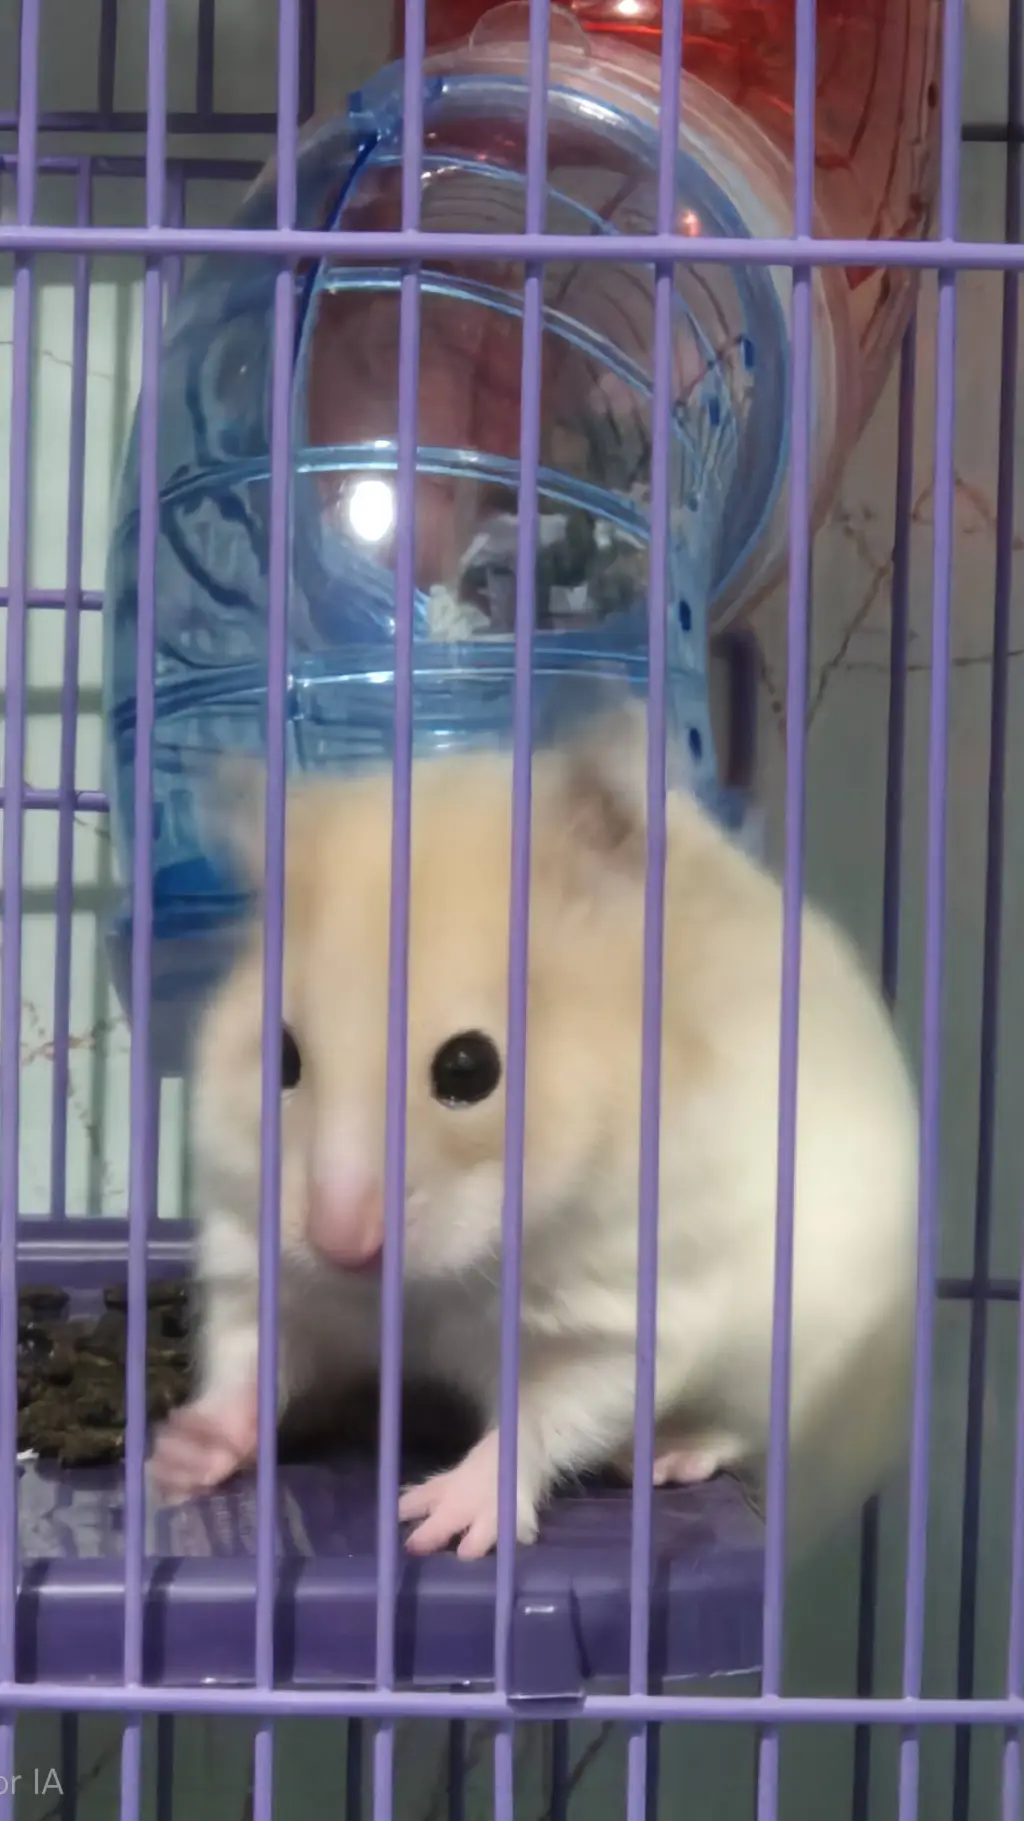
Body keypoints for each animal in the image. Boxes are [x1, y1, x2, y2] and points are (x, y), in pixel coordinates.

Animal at [150, 701, 919, 1560]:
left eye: (469, 1068)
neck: (436, 1281)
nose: (341, 1245)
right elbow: (248, 1359)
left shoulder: (620, 1320)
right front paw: (174, 1458)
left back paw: (664, 1456)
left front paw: (437, 1523)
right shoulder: (260, 1262)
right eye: (281, 1057)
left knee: (737, 1433)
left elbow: (540, 1418)